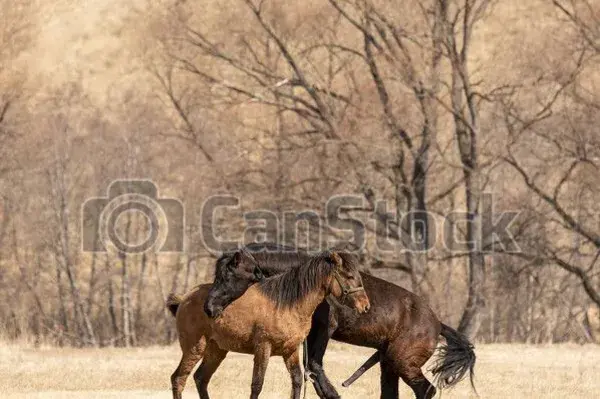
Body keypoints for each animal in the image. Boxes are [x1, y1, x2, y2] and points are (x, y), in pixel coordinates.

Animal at [166, 252, 368, 398]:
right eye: (349, 276)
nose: (365, 305)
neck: (286, 304)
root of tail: (184, 298)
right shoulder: (263, 348)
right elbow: (257, 384)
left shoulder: (290, 351)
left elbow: (297, 381)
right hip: (194, 348)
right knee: (178, 379)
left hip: (216, 350)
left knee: (201, 378)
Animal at [204, 244, 476, 399]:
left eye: (228, 274)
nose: (209, 307)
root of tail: (438, 324)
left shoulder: (323, 331)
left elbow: (314, 367)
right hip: (389, 364)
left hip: (404, 363)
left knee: (426, 390)